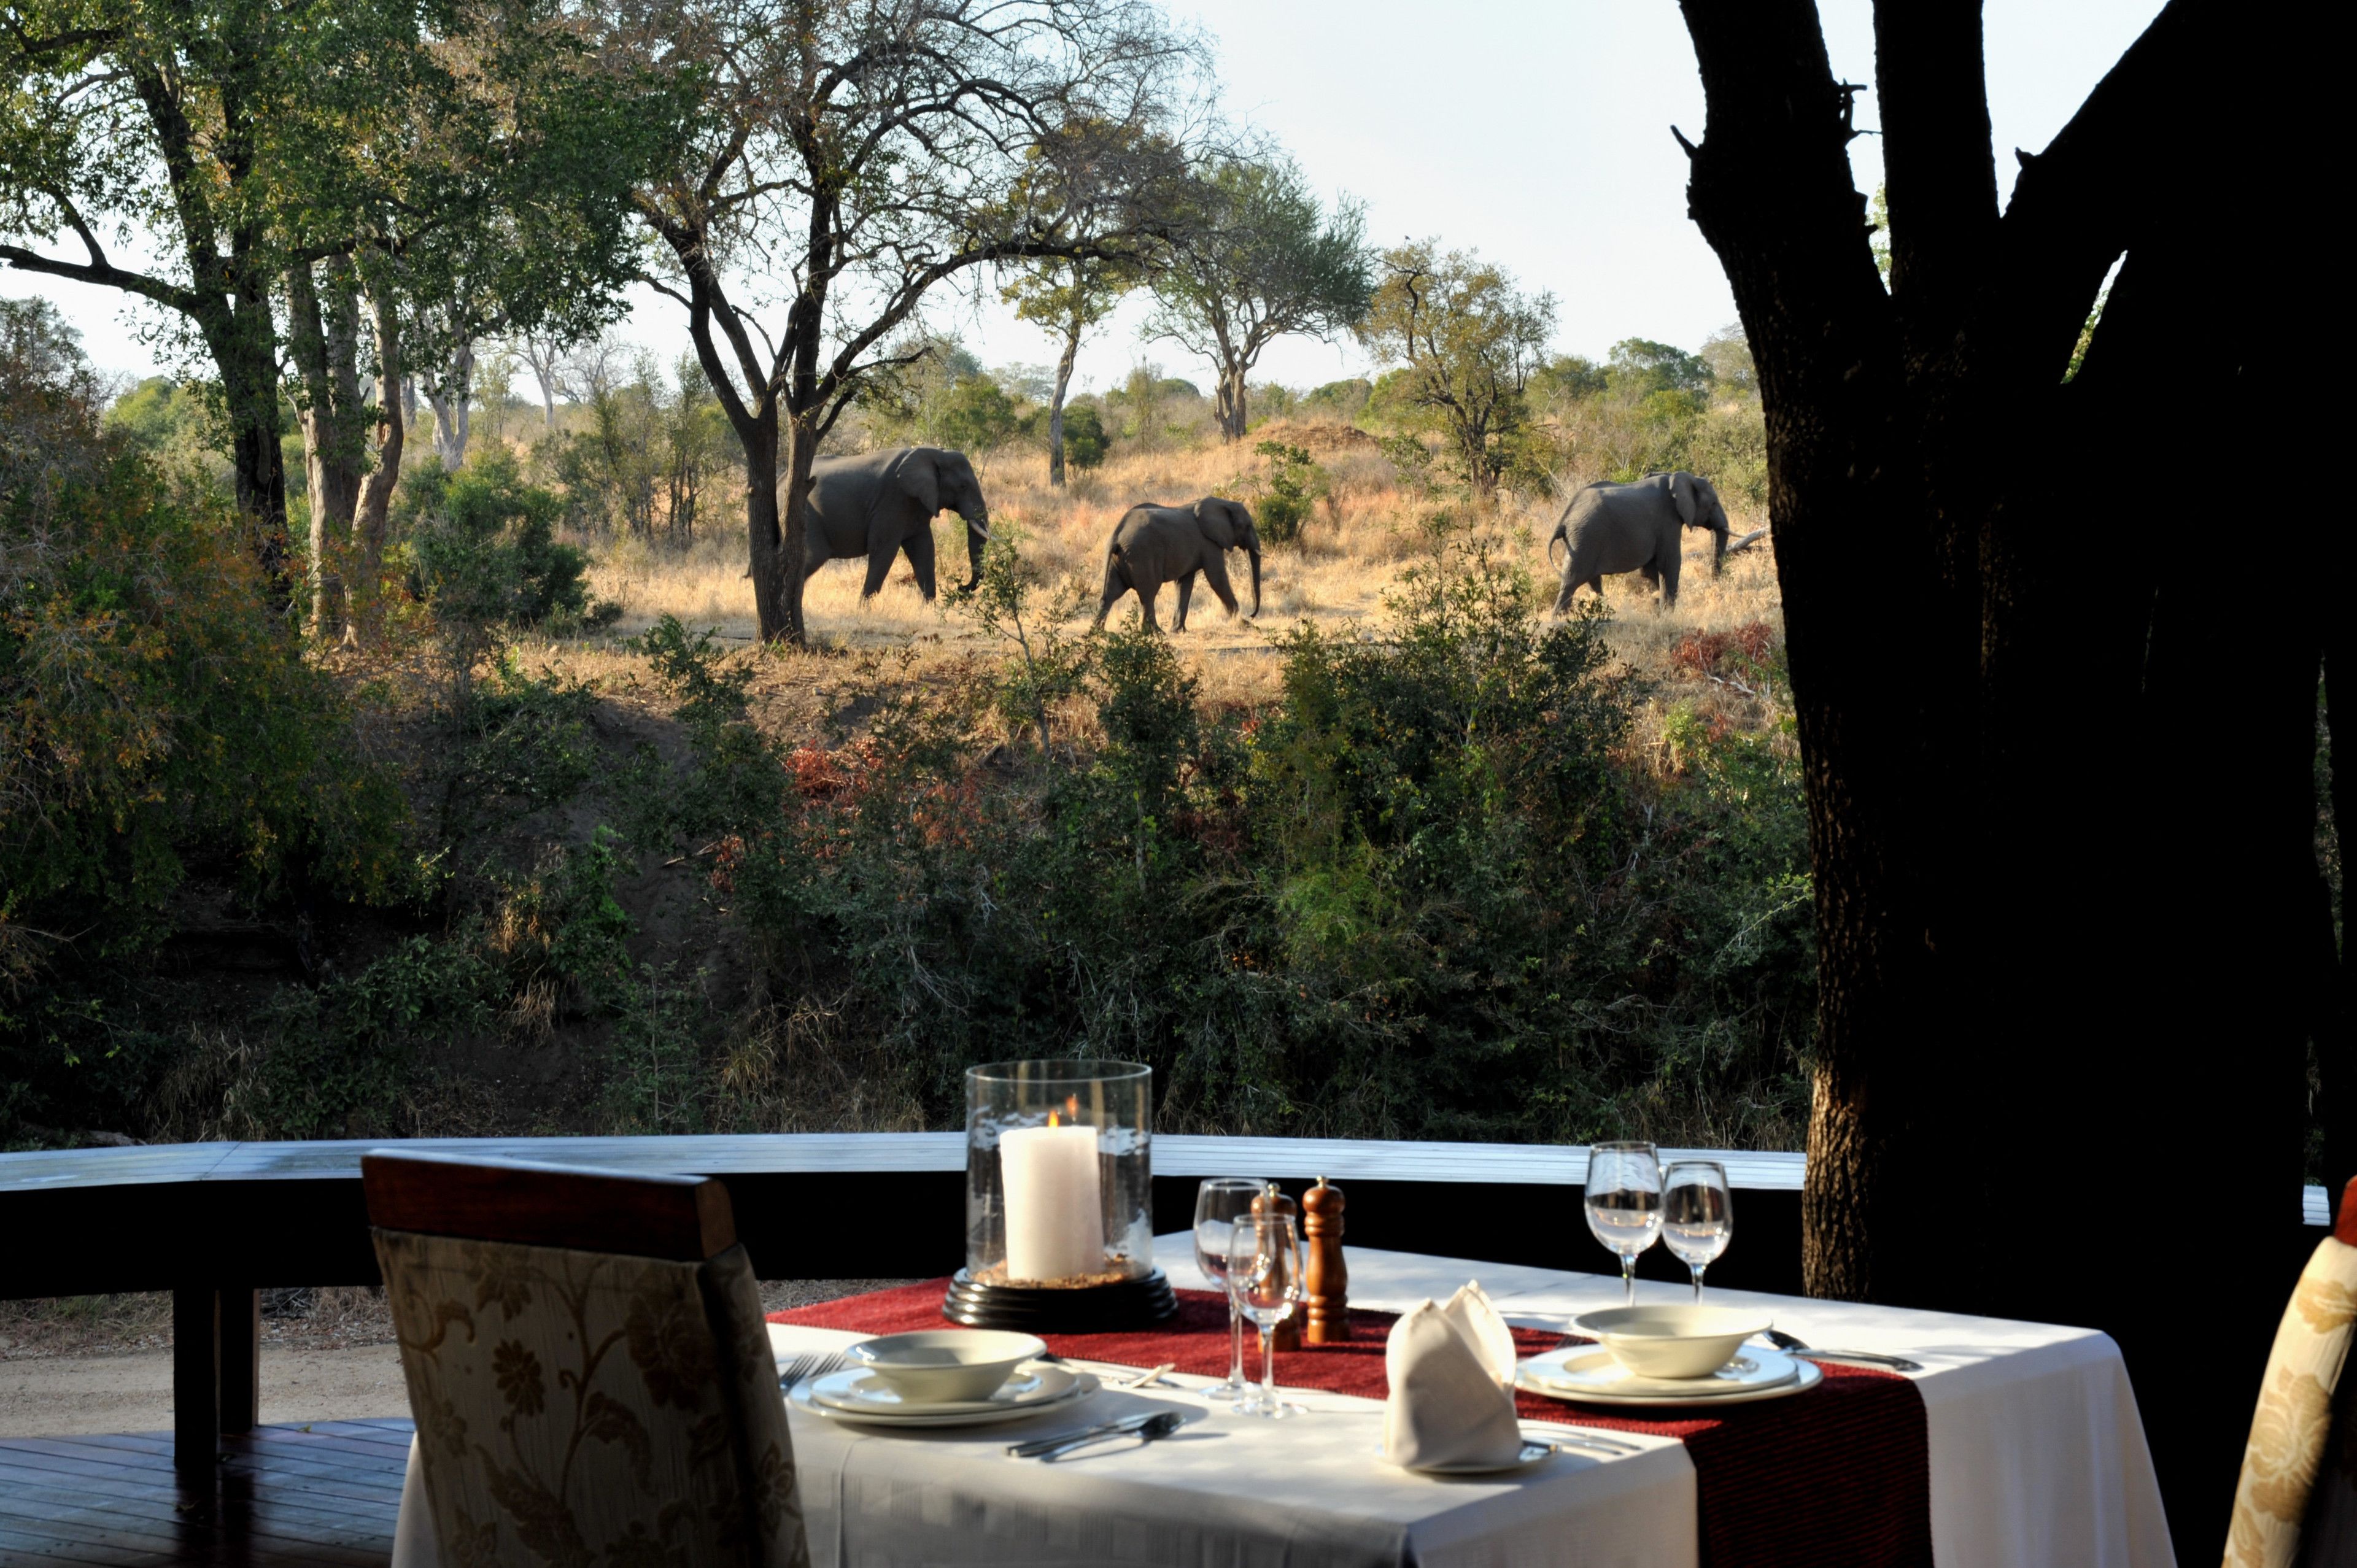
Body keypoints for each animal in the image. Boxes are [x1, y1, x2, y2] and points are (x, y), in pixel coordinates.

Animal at [782, 446, 991, 601]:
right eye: (963, 486)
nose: (961, 587)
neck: (936, 453)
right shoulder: (892, 501)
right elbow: (884, 550)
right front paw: (863, 610)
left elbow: (924, 550)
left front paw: (929, 608)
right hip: (808, 514)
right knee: (813, 557)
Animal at [1092, 498, 1262, 632]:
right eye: (1248, 526)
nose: (1252, 615)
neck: (1224, 503)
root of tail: (1117, 534)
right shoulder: (1209, 543)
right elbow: (1217, 578)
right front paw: (1245, 624)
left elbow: (1184, 584)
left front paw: (1179, 631)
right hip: (1141, 555)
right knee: (1148, 594)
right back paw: (1156, 632)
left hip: (1118, 559)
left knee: (1111, 594)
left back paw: (1098, 634)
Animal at [1547, 470, 1732, 613]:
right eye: (1713, 503)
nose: (1716, 585)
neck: (1679, 477)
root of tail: (1565, 517)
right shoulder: (1668, 521)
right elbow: (1670, 563)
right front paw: (1669, 614)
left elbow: (1651, 570)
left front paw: (1658, 608)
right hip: (1585, 538)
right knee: (1571, 582)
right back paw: (1560, 619)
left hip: (1582, 540)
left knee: (1593, 582)